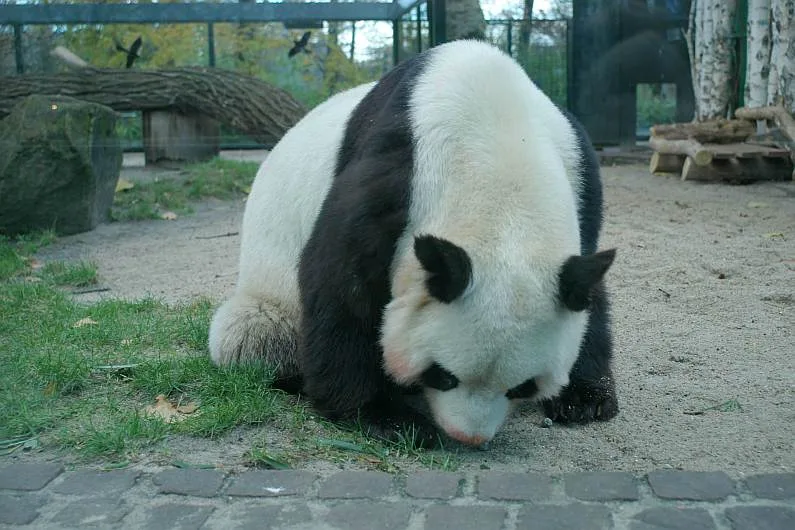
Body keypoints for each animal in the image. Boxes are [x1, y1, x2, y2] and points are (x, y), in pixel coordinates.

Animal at [209, 39, 619, 449]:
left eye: (522, 387)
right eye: (442, 375)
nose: (468, 437)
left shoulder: (578, 168)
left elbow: (589, 285)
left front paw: (585, 396)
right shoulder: (395, 170)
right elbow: (341, 281)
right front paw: (382, 415)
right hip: (269, 298)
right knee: (255, 335)